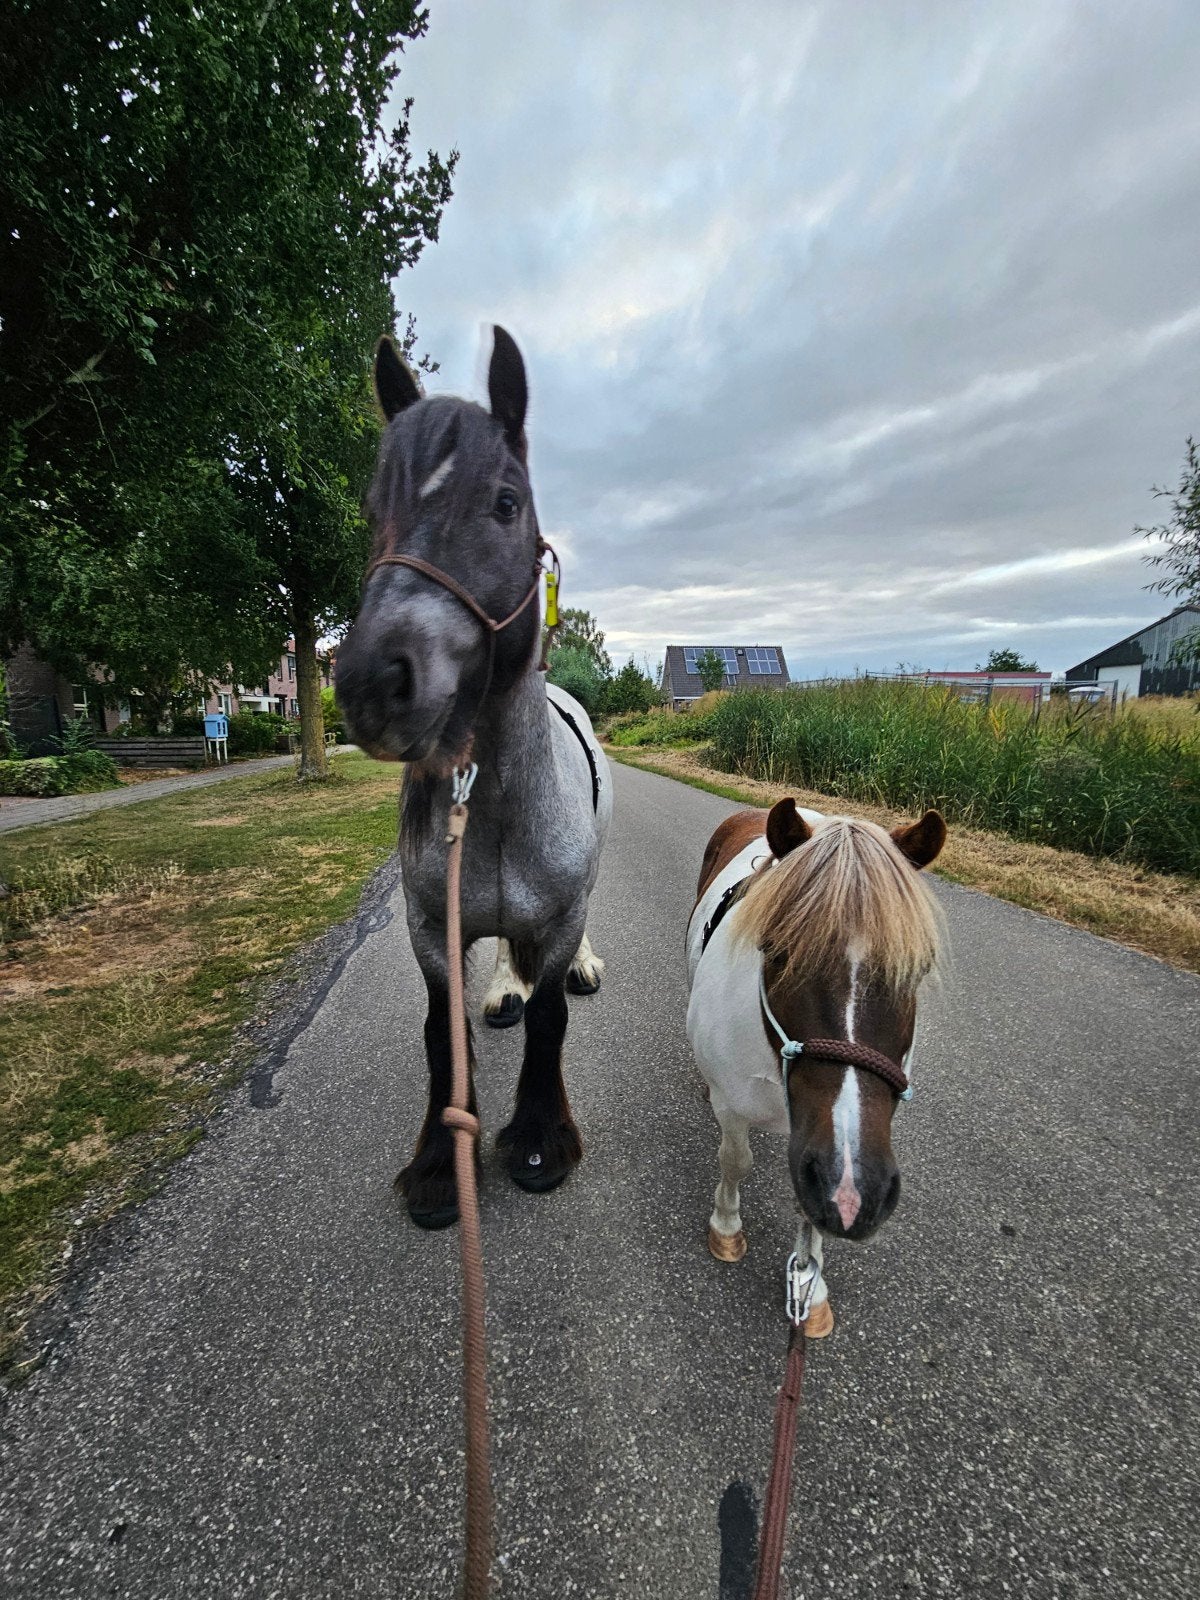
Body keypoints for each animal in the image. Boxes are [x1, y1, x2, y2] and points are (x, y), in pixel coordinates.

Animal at [336, 327, 612, 1229]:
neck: (488, 805)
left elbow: (552, 1017)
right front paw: (437, 1163)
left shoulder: (559, 915)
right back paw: (501, 989)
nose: (373, 680)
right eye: (371, 508)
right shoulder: (431, 928)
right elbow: (439, 1033)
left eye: (505, 502)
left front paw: (538, 1140)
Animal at [686, 796, 946, 1335]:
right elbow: (735, 1159)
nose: (854, 1193)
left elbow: (809, 1208)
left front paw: (811, 1282)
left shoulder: (818, 1142)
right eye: (778, 952)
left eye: (917, 967)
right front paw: (727, 1227)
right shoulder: (737, 1108)